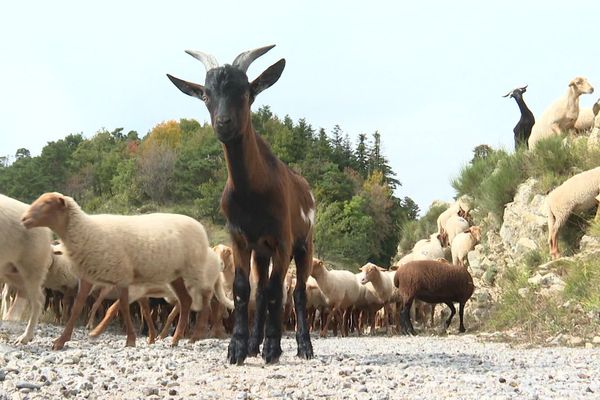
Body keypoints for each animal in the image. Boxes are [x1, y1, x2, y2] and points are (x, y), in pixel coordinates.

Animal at [21, 192, 223, 348]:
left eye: (47, 203)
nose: (23, 219)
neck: (86, 231)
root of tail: (199, 226)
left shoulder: (122, 276)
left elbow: (123, 307)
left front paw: (130, 340)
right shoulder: (89, 276)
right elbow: (78, 306)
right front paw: (61, 340)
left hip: (196, 271)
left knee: (206, 301)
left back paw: (195, 336)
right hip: (177, 274)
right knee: (186, 301)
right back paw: (176, 339)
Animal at [166, 44, 316, 366]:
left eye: (245, 93)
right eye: (206, 95)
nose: (223, 123)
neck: (252, 192)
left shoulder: (282, 240)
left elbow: (276, 292)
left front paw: (272, 348)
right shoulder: (240, 239)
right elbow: (242, 290)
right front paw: (237, 348)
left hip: (304, 245)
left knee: (297, 293)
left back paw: (303, 346)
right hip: (261, 252)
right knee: (260, 291)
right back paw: (253, 345)